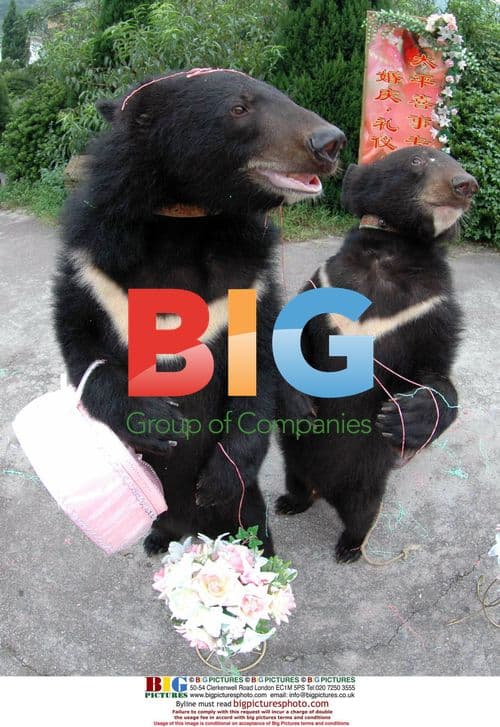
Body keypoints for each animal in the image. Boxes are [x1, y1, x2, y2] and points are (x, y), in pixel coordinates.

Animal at [53, 68, 346, 557]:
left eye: (282, 96)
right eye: (239, 108)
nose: (330, 142)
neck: (184, 225)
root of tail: (194, 526)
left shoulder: (249, 284)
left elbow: (257, 373)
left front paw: (216, 479)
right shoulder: (92, 268)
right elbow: (83, 349)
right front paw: (160, 420)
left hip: (247, 508)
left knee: (252, 519)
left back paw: (256, 547)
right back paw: (158, 538)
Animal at [276, 146, 478, 562]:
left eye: (455, 162)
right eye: (418, 161)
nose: (466, 184)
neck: (391, 251)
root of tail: (325, 489)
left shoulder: (431, 308)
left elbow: (437, 368)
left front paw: (406, 415)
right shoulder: (324, 280)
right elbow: (296, 336)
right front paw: (299, 403)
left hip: (365, 477)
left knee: (363, 511)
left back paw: (349, 547)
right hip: (294, 456)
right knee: (297, 479)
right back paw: (290, 503)